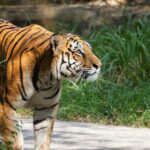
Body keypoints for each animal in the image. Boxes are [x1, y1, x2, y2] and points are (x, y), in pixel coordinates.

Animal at [0, 19, 101, 149]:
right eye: (79, 52)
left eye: (90, 50)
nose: (99, 65)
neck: (47, 78)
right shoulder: (6, 106)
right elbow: (15, 142)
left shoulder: (46, 108)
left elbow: (43, 140)